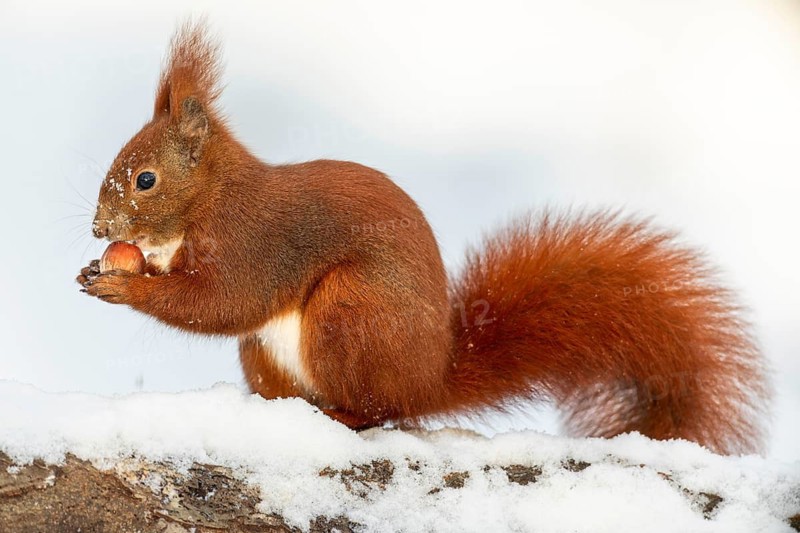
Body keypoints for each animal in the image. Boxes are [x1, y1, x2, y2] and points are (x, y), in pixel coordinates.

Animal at [77, 22, 769, 455]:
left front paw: (124, 286)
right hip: (268, 355)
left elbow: (222, 301)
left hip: (351, 313)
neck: (207, 201)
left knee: (380, 410)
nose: (99, 230)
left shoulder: (256, 241)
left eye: (144, 179)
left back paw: (343, 415)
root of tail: (430, 377)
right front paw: (97, 271)